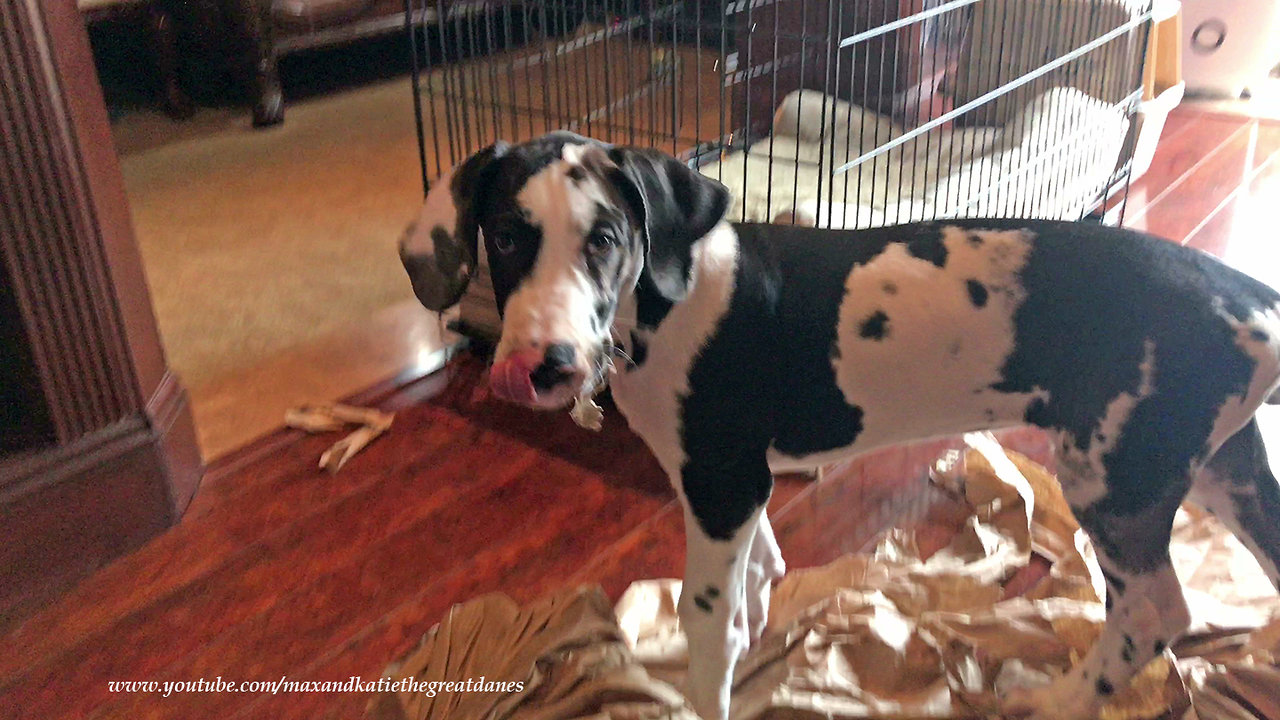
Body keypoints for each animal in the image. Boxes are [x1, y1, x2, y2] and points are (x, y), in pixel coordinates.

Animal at [401, 131, 1280, 712]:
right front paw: (753, 628)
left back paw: (1059, 699)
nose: (540, 366)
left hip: (1116, 478)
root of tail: (1248, 299)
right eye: (506, 237)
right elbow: (759, 571)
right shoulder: (734, 485)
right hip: (1228, 469)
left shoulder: (721, 480)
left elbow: (709, 619)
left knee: (1153, 612)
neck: (658, 304)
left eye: (607, 239)